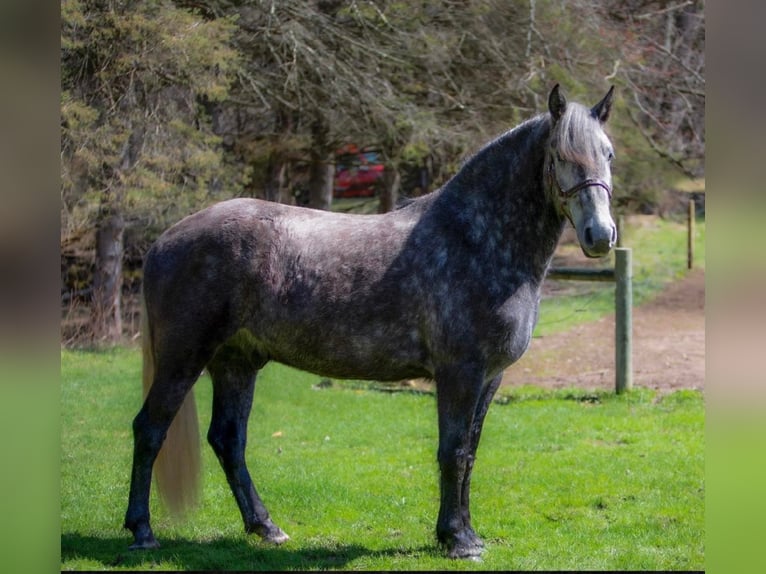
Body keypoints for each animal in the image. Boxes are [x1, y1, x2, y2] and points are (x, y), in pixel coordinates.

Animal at [126, 83, 616, 560]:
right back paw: (142, 531)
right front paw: (456, 540)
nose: (601, 235)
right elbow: (453, 452)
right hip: (184, 358)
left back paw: (266, 528)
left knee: (228, 439)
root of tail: (164, 240)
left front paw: (467, 534)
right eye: (560, 156)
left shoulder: (489, 378)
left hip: (236, 362)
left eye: (608, 154)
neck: (473, 240)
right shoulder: (460, 373)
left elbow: (470, 455)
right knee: (150, 429)